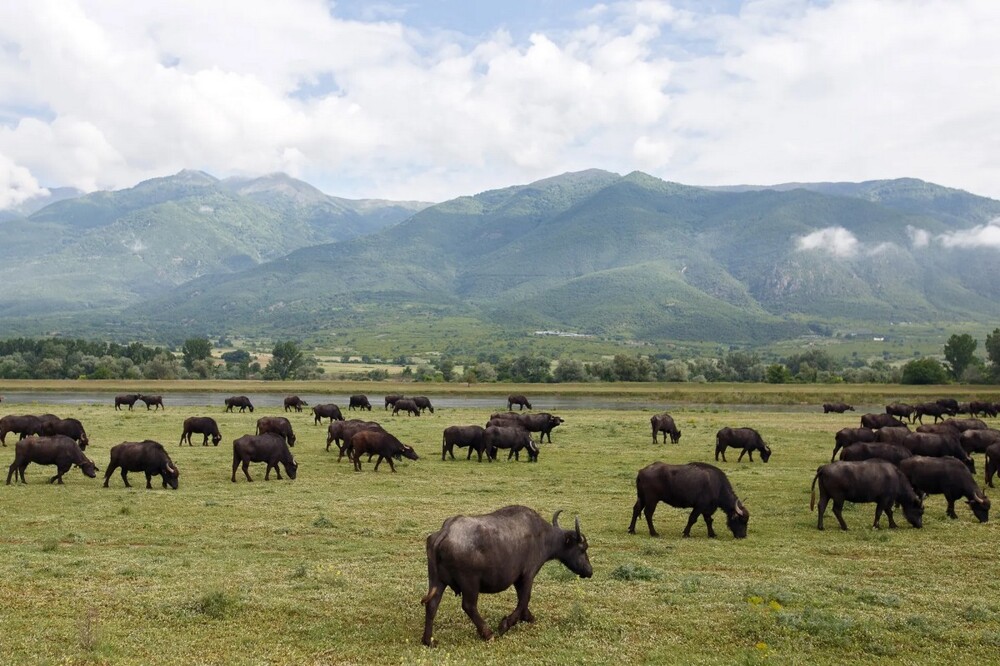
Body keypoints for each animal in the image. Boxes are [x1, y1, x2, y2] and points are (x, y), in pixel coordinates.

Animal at [418, 504, 588, 644]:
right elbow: (524, 599)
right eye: (582, 548)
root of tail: (446, 530)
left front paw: (527, 617)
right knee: (469, 606)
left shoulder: (518, 579)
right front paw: (507, 624)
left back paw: (428, 640)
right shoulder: (528, 575)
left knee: (432, 604)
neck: (542, 536)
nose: (589, 570)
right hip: (470, 583)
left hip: (437, 581)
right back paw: (488, 633)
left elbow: (522, 600)